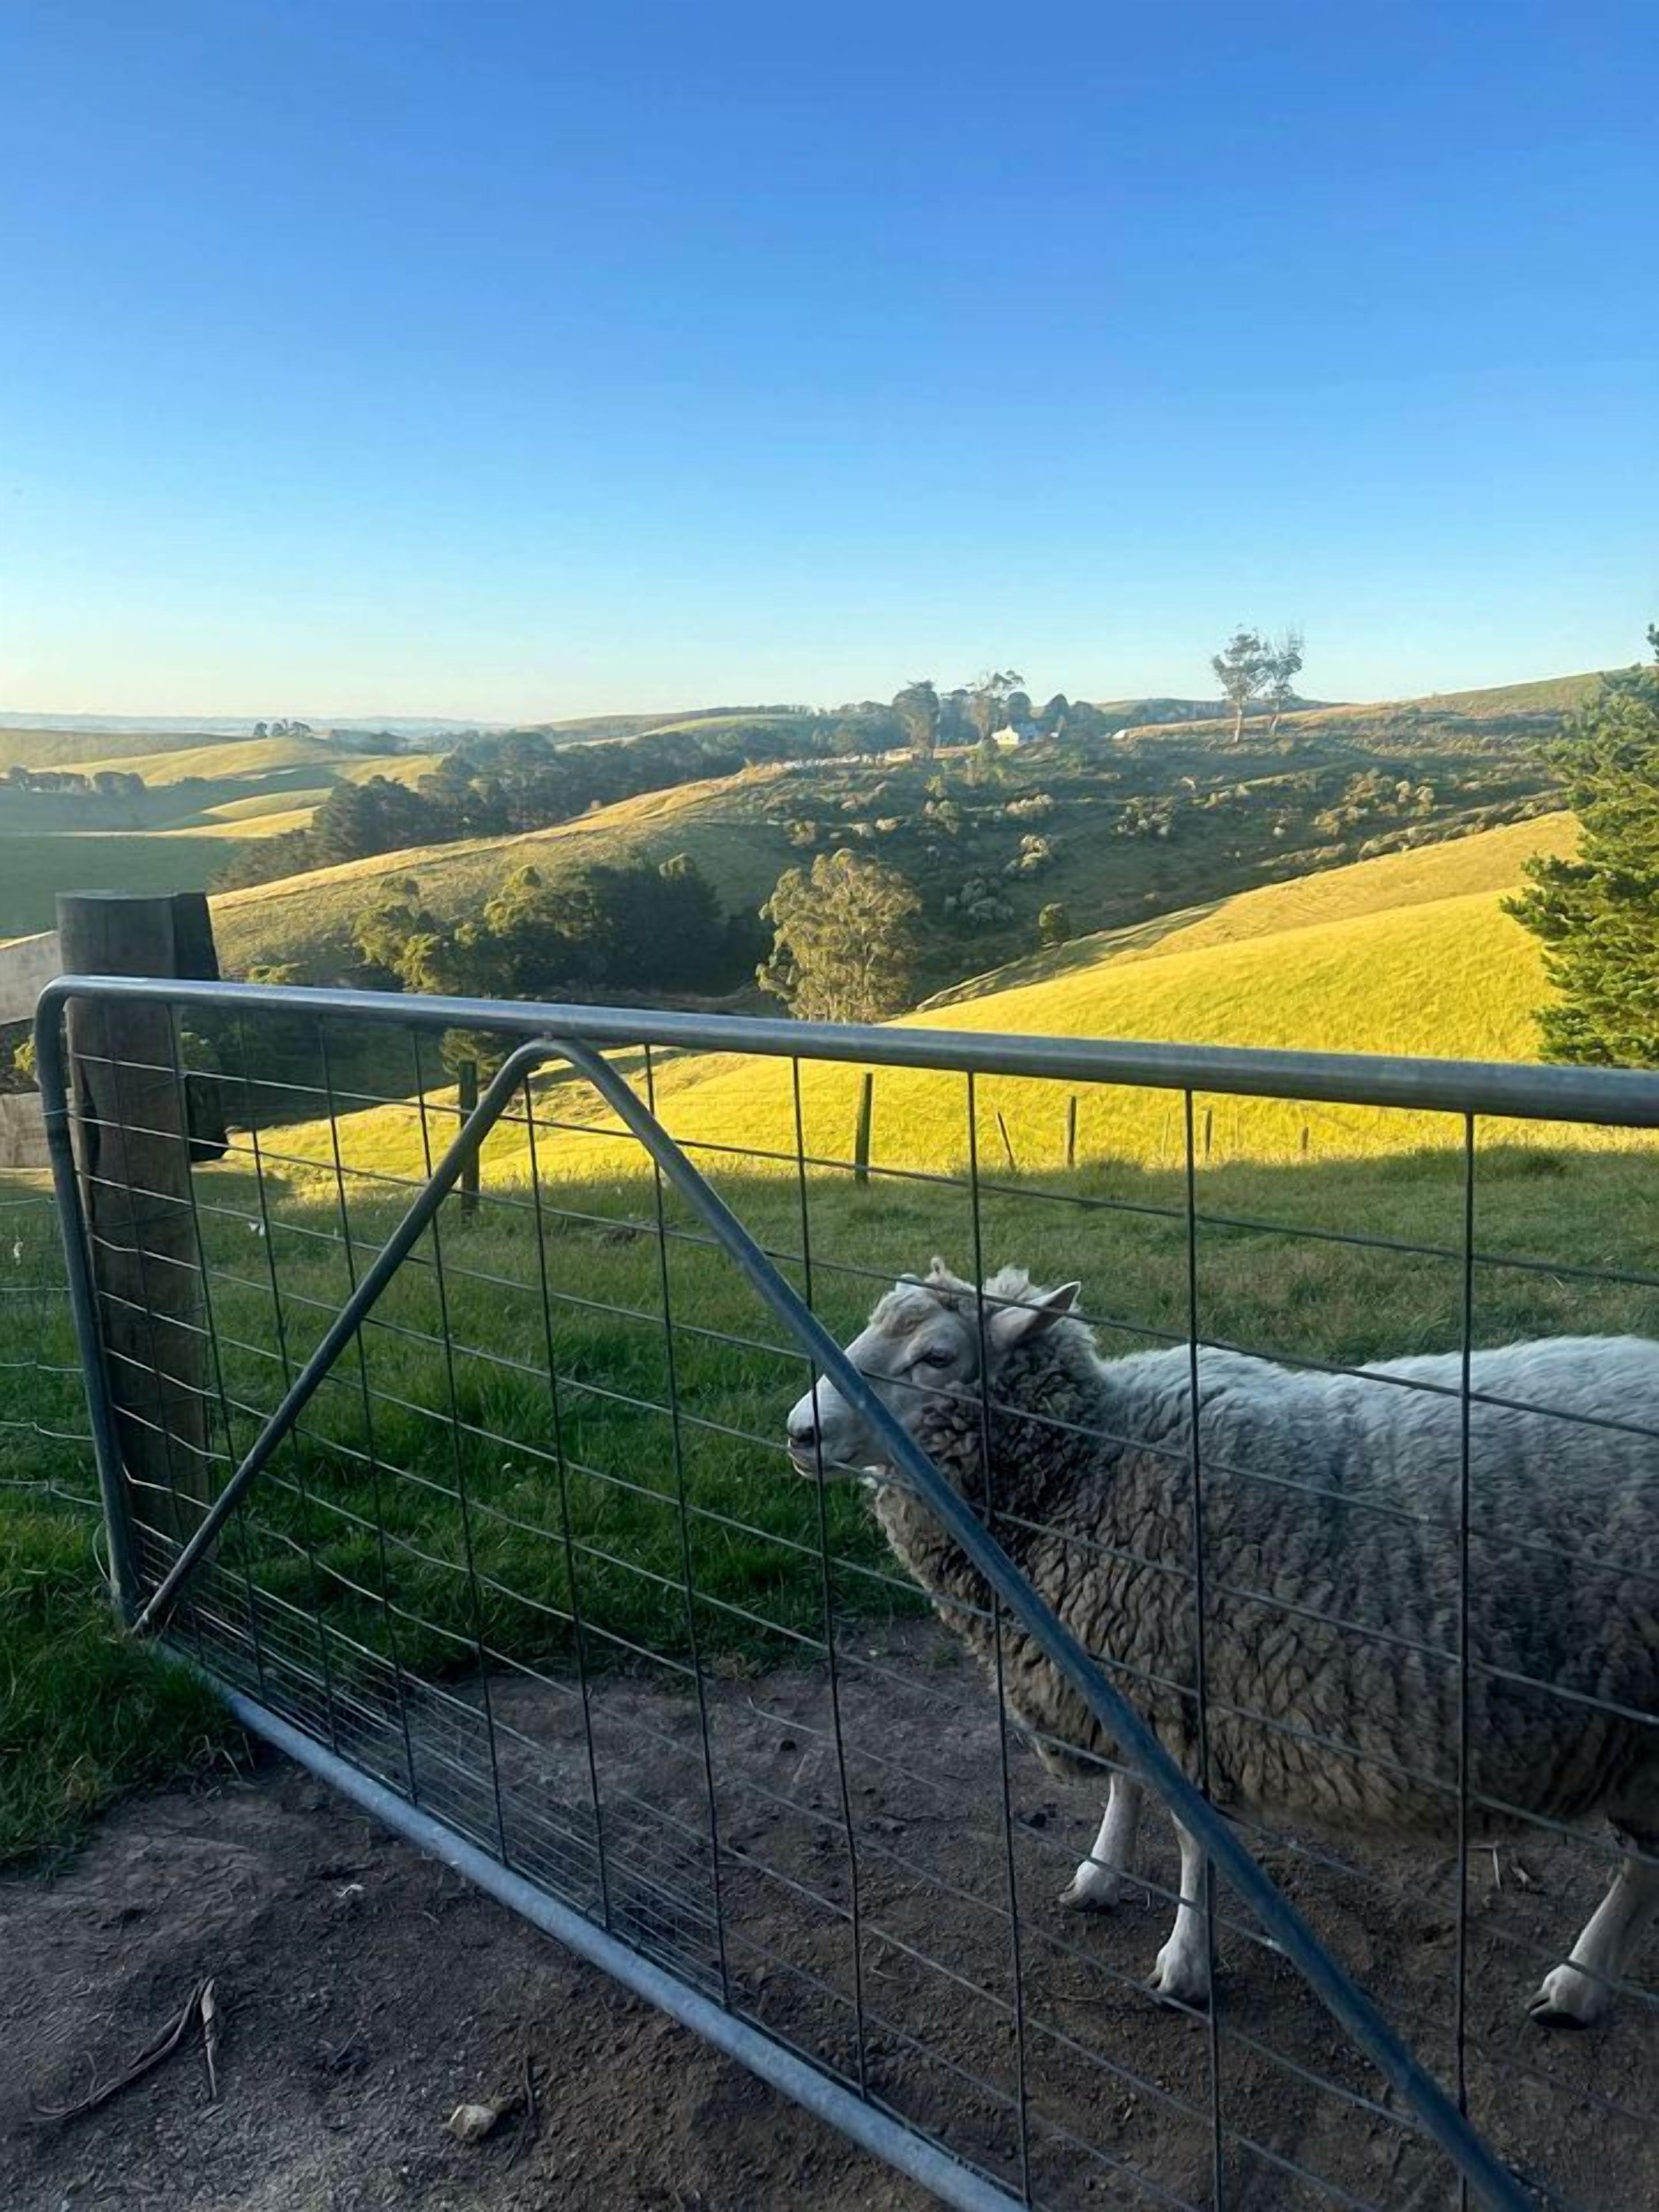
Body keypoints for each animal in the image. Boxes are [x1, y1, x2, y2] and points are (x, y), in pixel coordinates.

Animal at [783, 1257, 1659, 2024]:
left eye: (936, 1357)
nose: (799, 1433)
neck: (1089, 1468)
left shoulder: (1181, 1692)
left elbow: (1191, 1841)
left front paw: (1184, 1964)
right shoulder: (1120, 1669)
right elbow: (1125, 1787)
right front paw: (1100, 1874)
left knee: (1641, 1866)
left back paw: (1578, 1985)